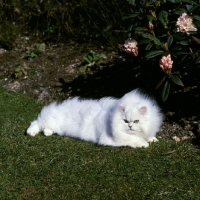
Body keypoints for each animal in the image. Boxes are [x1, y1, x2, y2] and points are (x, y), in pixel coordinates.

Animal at [27, 90, 162, 148]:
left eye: (136, 121)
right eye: (125, 121)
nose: (130, 126)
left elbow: (147, 135)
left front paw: (153, 139)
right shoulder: (113, 139)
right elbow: (133, 139)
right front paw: (144, 144)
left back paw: (47, 133)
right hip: (51, 120)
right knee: (36, 123)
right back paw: (31, 133)